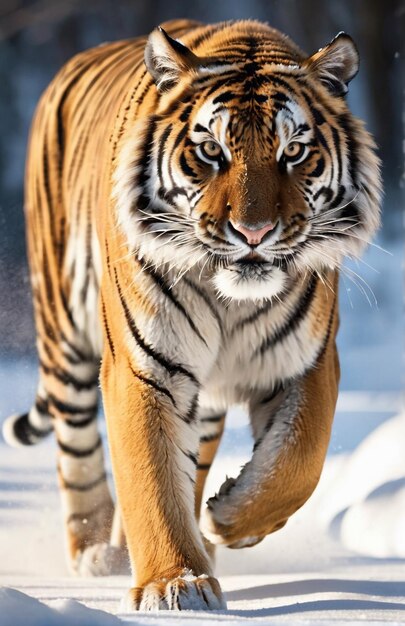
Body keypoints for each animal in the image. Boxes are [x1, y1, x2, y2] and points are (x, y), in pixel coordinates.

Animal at [3, 18, 380, 608]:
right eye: (209, 150)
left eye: (295, 152)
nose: (254, 232)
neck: (231, 301)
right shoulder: (144, 368)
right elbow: (152, 478)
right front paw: (176, 584)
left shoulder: (308, 363)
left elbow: (299, 459)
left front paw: (228, 518)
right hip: (65, 339)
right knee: (78, 446)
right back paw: (96, 552)